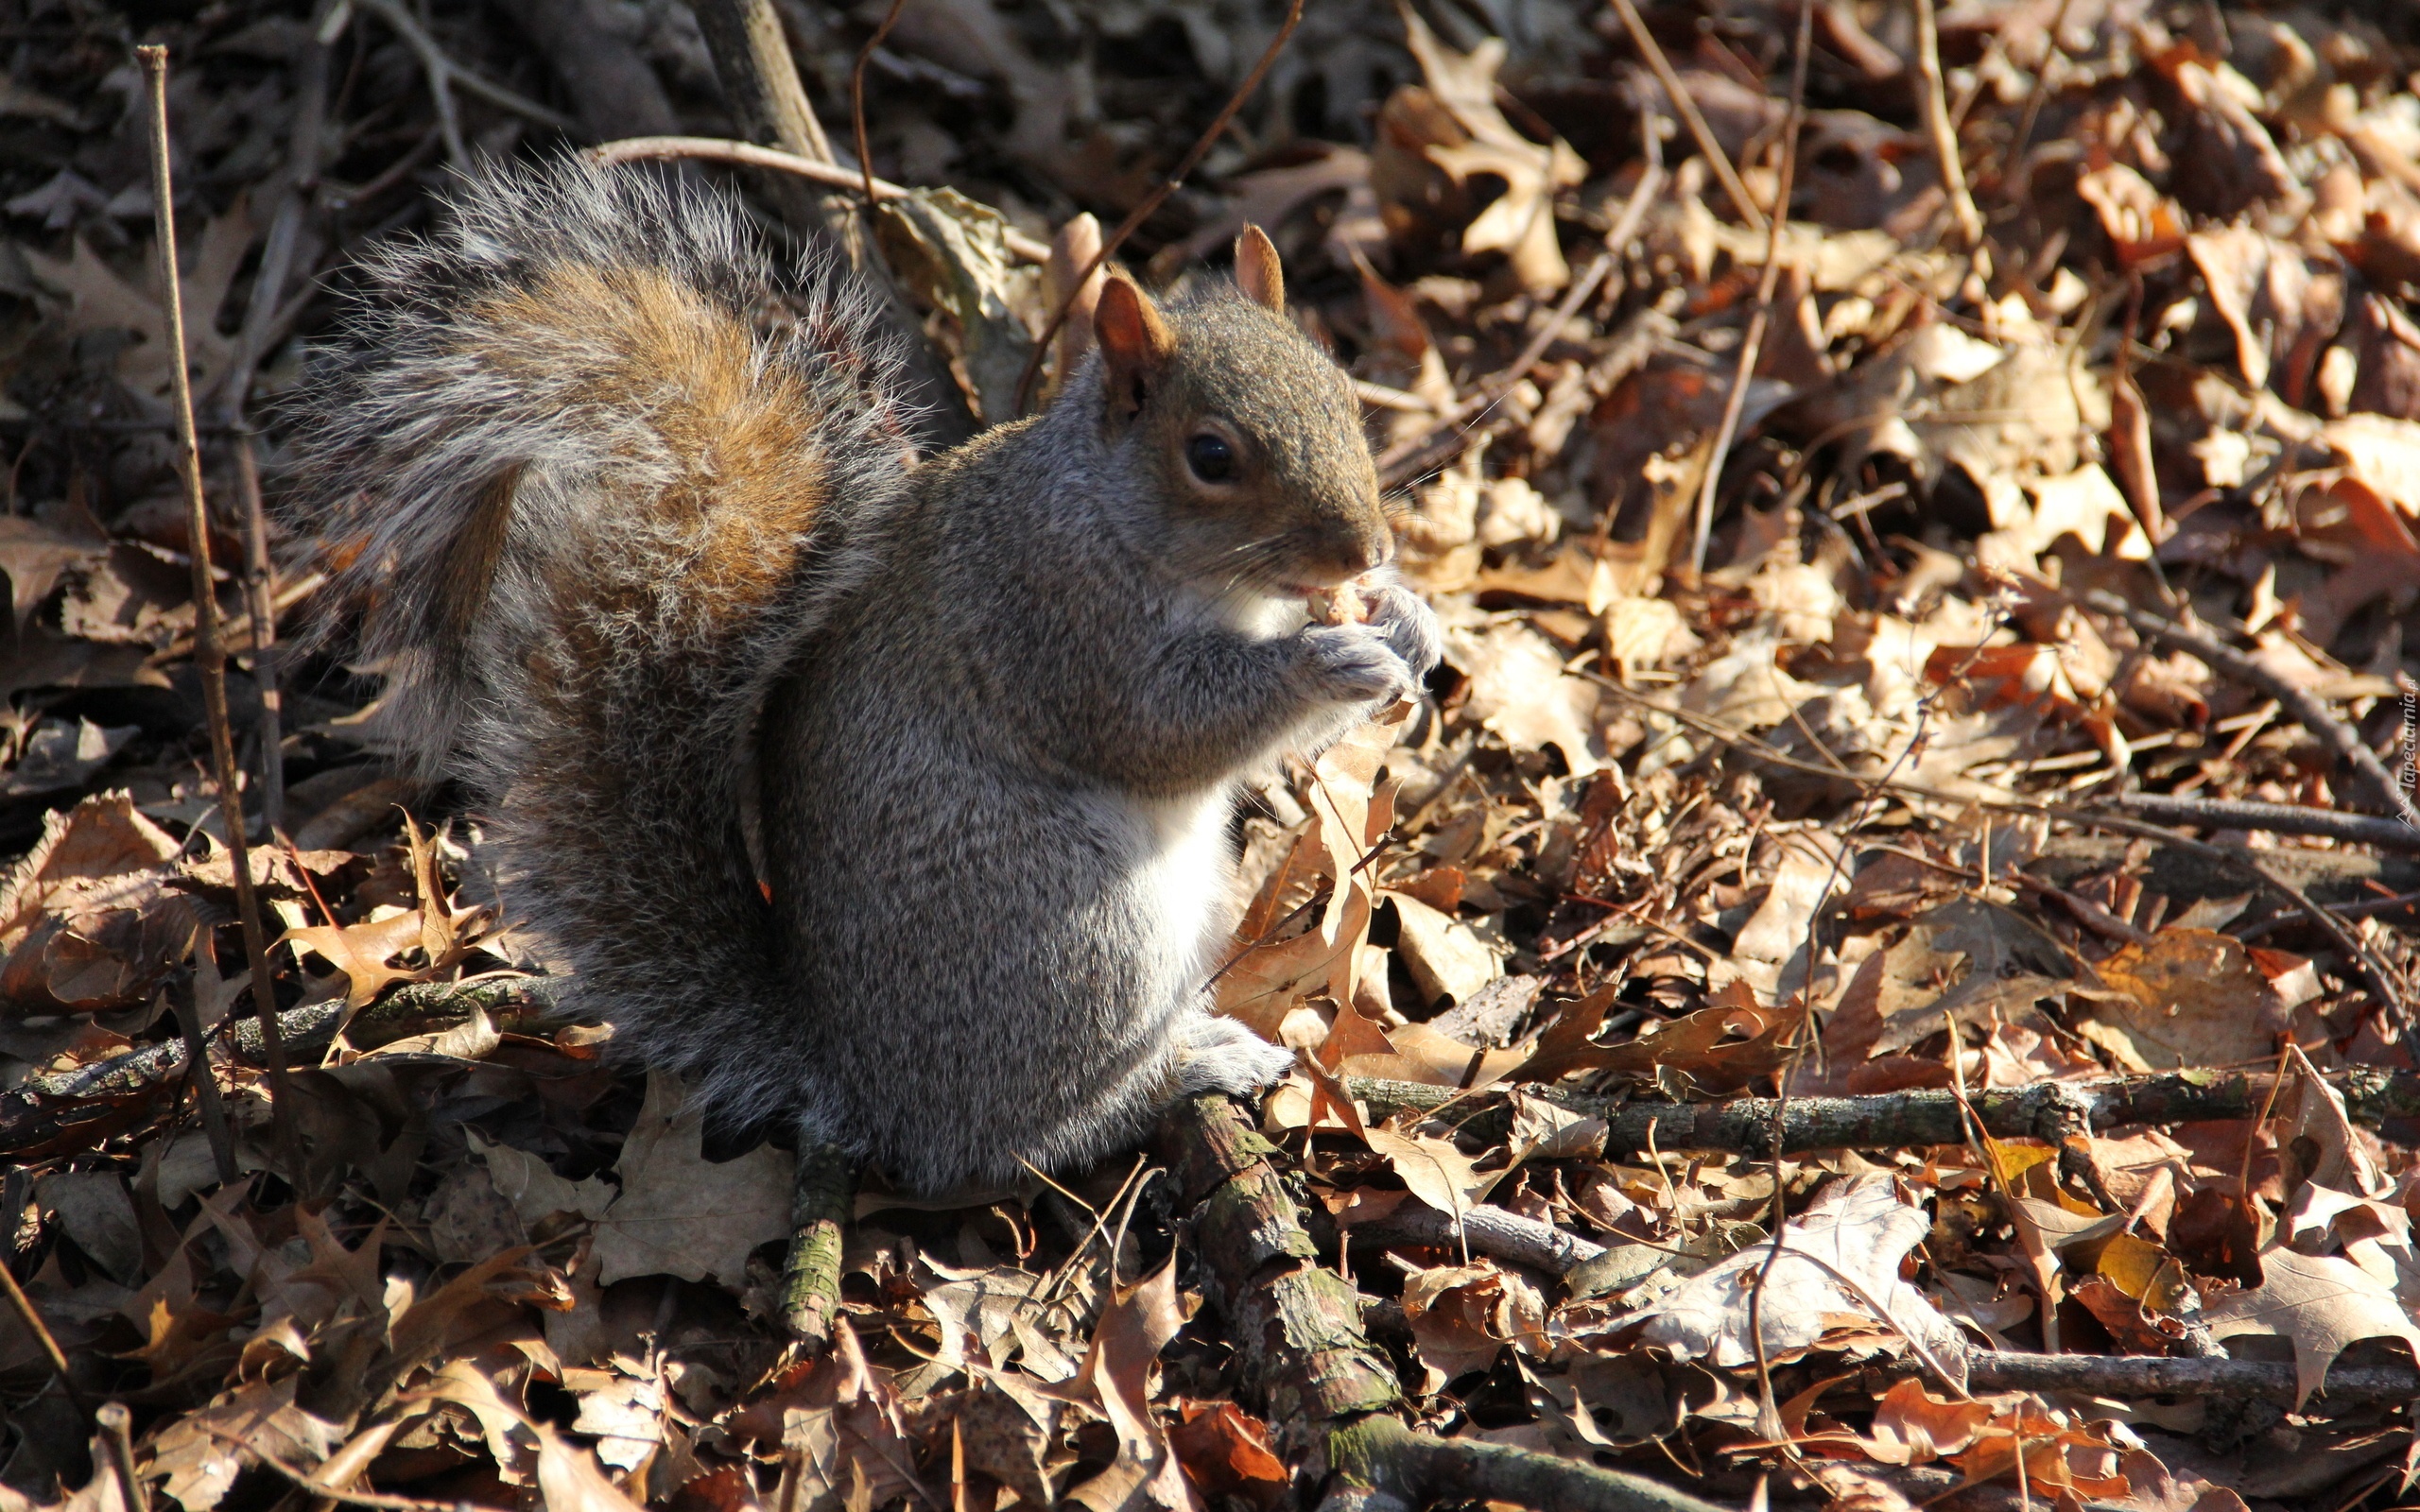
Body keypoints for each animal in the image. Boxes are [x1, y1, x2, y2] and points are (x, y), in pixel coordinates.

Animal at [295, 162, 1442, 1190]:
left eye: (1344, 393)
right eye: (1210, 456)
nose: (1366, 548)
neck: (1119, 521)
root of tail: (863, 1083)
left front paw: (1409, 620)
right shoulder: (1057, 620)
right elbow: (1163, 728)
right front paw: (1325, 659)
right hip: (1070, 941)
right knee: (1019, 1135)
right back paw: (1185, 1069)